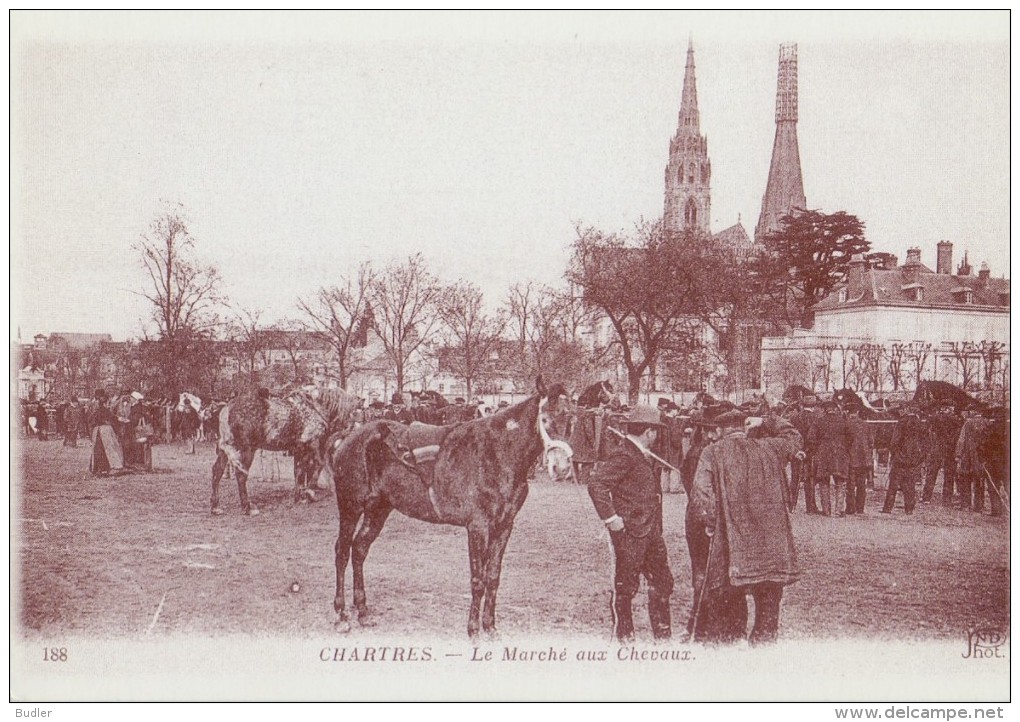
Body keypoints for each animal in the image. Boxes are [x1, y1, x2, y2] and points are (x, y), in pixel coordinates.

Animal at [211, 385, 363, 516]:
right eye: (355, 412)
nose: (354, 430)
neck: (314, 409)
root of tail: (225, 409)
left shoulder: (299, 449)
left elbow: (300, 472)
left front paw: (300, 496)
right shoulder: (308, 447)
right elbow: (309, 470)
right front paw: (307, 494)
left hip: (225, 450)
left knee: (217, 472)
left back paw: (215, 507)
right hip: (245, 450)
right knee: (241, 475)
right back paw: (248, 508)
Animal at [332, 377, 579, 636]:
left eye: (571, 419)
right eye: (545, 419)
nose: (561, 468)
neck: (497, 452)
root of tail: (347, 439)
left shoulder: (504, 526)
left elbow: (493, 577)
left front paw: (490, 626)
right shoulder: (478, 527)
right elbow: (478, 580)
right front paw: (474, 630)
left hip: (378, 508)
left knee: (359, 549)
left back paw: (362, 612)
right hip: (350, 506)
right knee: (342, 552)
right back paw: (341, 615)